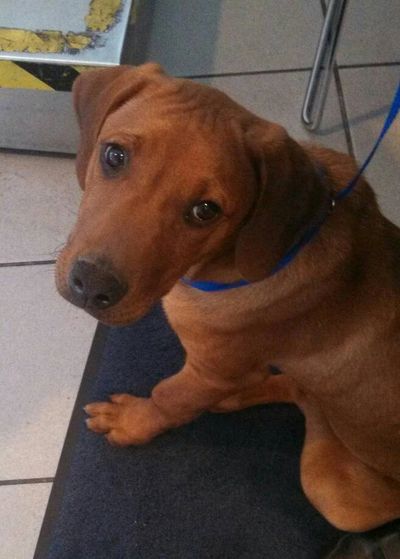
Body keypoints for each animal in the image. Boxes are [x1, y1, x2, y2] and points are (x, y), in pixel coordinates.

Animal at [55, 63, 400, 532]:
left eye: (205, 211)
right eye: (114, 156)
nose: (91, 286)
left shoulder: (211, 372)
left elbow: (168, 396)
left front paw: (134, 423)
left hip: (334, 495)